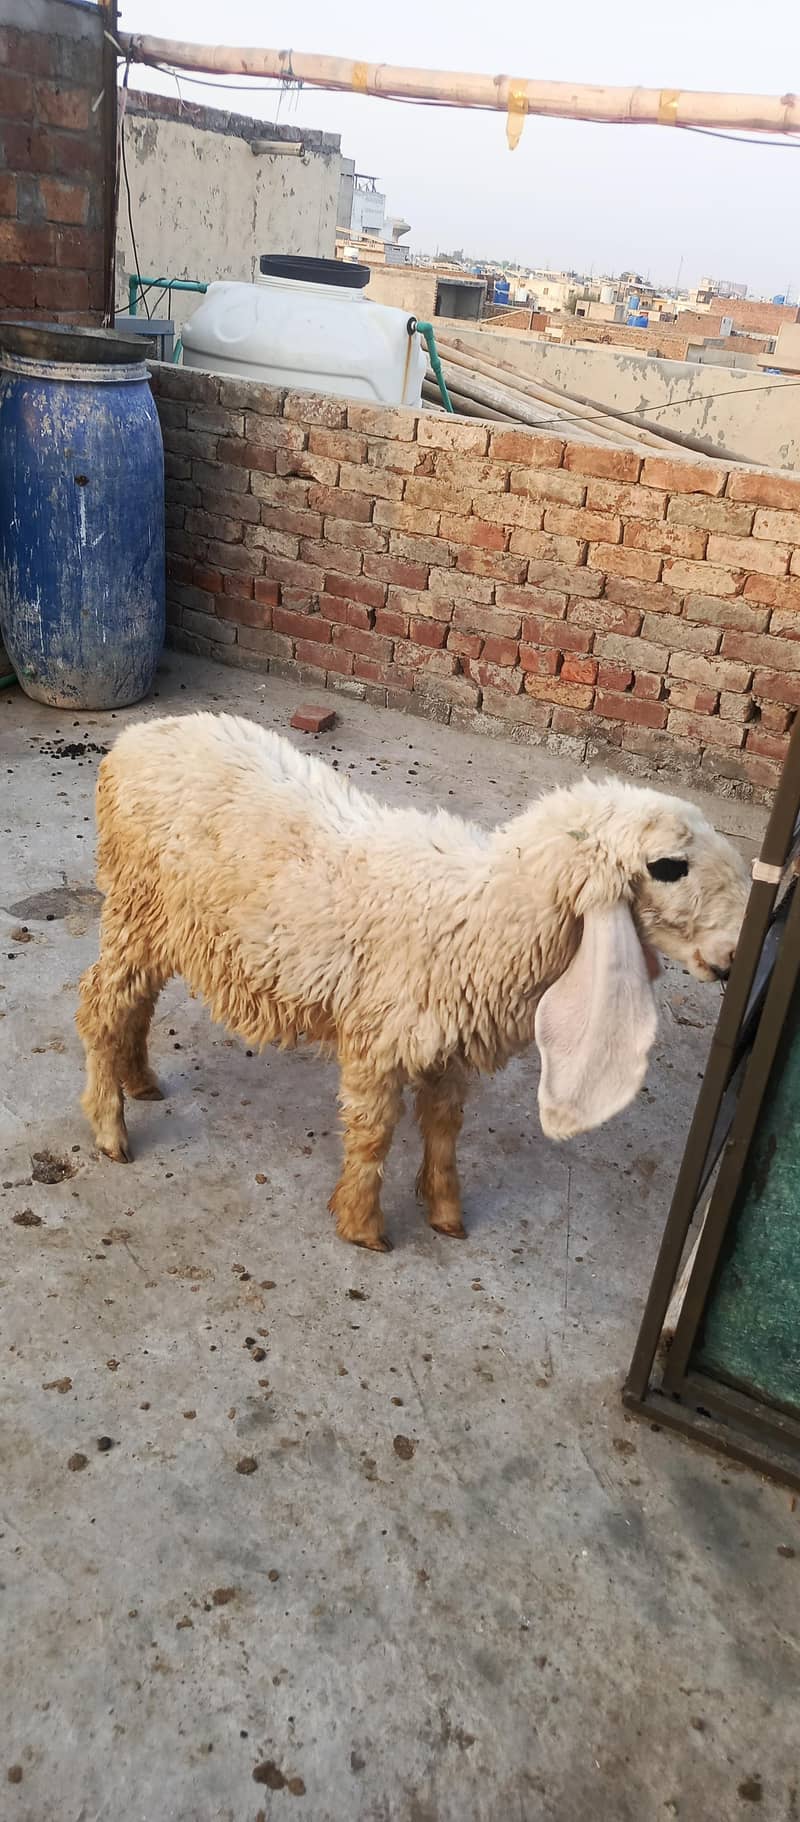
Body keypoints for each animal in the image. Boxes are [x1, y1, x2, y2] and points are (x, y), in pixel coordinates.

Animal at [76, 710, 749, 1251]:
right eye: (668, 867)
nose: (734, 956)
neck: (483, 913)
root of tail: (133, 738)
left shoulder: (447, 1043)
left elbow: (444, 1127)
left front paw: (446, 1211)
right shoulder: (378, 1038)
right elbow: (374, 1134)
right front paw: (362, 1225)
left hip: (162, 922)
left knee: (136, 1001)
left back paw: (140, 1081)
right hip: (136, 904)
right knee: (102, 1004)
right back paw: (110, 1126)